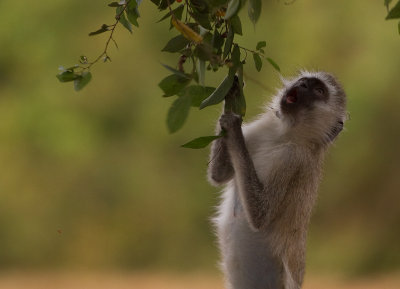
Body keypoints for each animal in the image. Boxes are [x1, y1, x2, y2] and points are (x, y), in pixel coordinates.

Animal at [209, 70, 346, 288]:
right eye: (304, 81)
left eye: (319, 90)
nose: (304, 84)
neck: (282, 136)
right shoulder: (257, 131)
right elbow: (219, 175)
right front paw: (231, 91)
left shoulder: (290, 158)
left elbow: (261, 214)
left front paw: (234, 126)